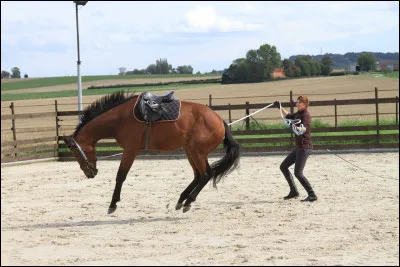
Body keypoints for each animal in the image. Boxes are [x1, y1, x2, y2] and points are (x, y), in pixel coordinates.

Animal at [63, 91, 241, 215]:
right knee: (198, 175)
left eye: (76, 153)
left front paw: (113, 204)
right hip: (190, 151)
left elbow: (120, 176)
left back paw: (188, 201)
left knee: (206, 174)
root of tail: (220, 120)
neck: (120, 118)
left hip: (197, 152)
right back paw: (181, 200)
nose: (90, 173)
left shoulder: (130, 150)